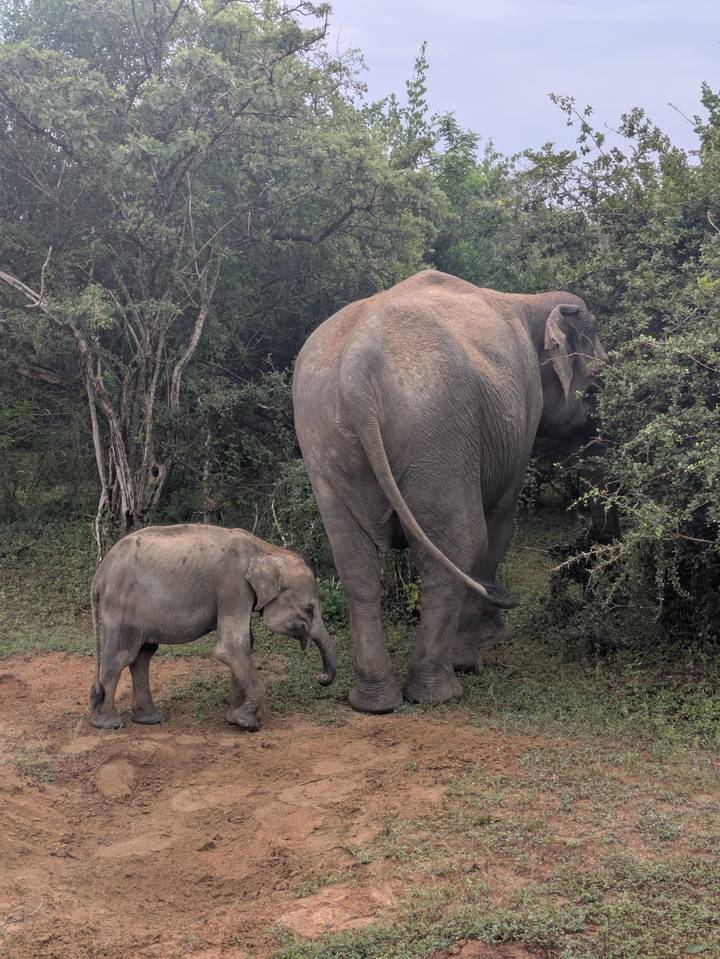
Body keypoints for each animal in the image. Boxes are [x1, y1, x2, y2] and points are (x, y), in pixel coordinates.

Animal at [89, 524, 336, 731]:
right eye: (309, 610)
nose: (321, 677)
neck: (265, 549)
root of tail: (99, 574)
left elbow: (245, 644)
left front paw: (236, 718)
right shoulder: (233, 587)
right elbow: (230, 647)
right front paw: (248, 724)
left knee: (143, 655)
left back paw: (149, 719)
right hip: (121, 605)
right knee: (121, 656)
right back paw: (109, 723)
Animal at [293, 269, 607, 714]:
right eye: (597, 385)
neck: (528, 300)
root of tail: (356, 370)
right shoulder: (522, 413)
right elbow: (500, 522)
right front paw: (488, 645)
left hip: (322, 440)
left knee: (354, 562)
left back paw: (374, 702)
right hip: (437, 431)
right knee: (459, 542)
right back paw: (442, 687)